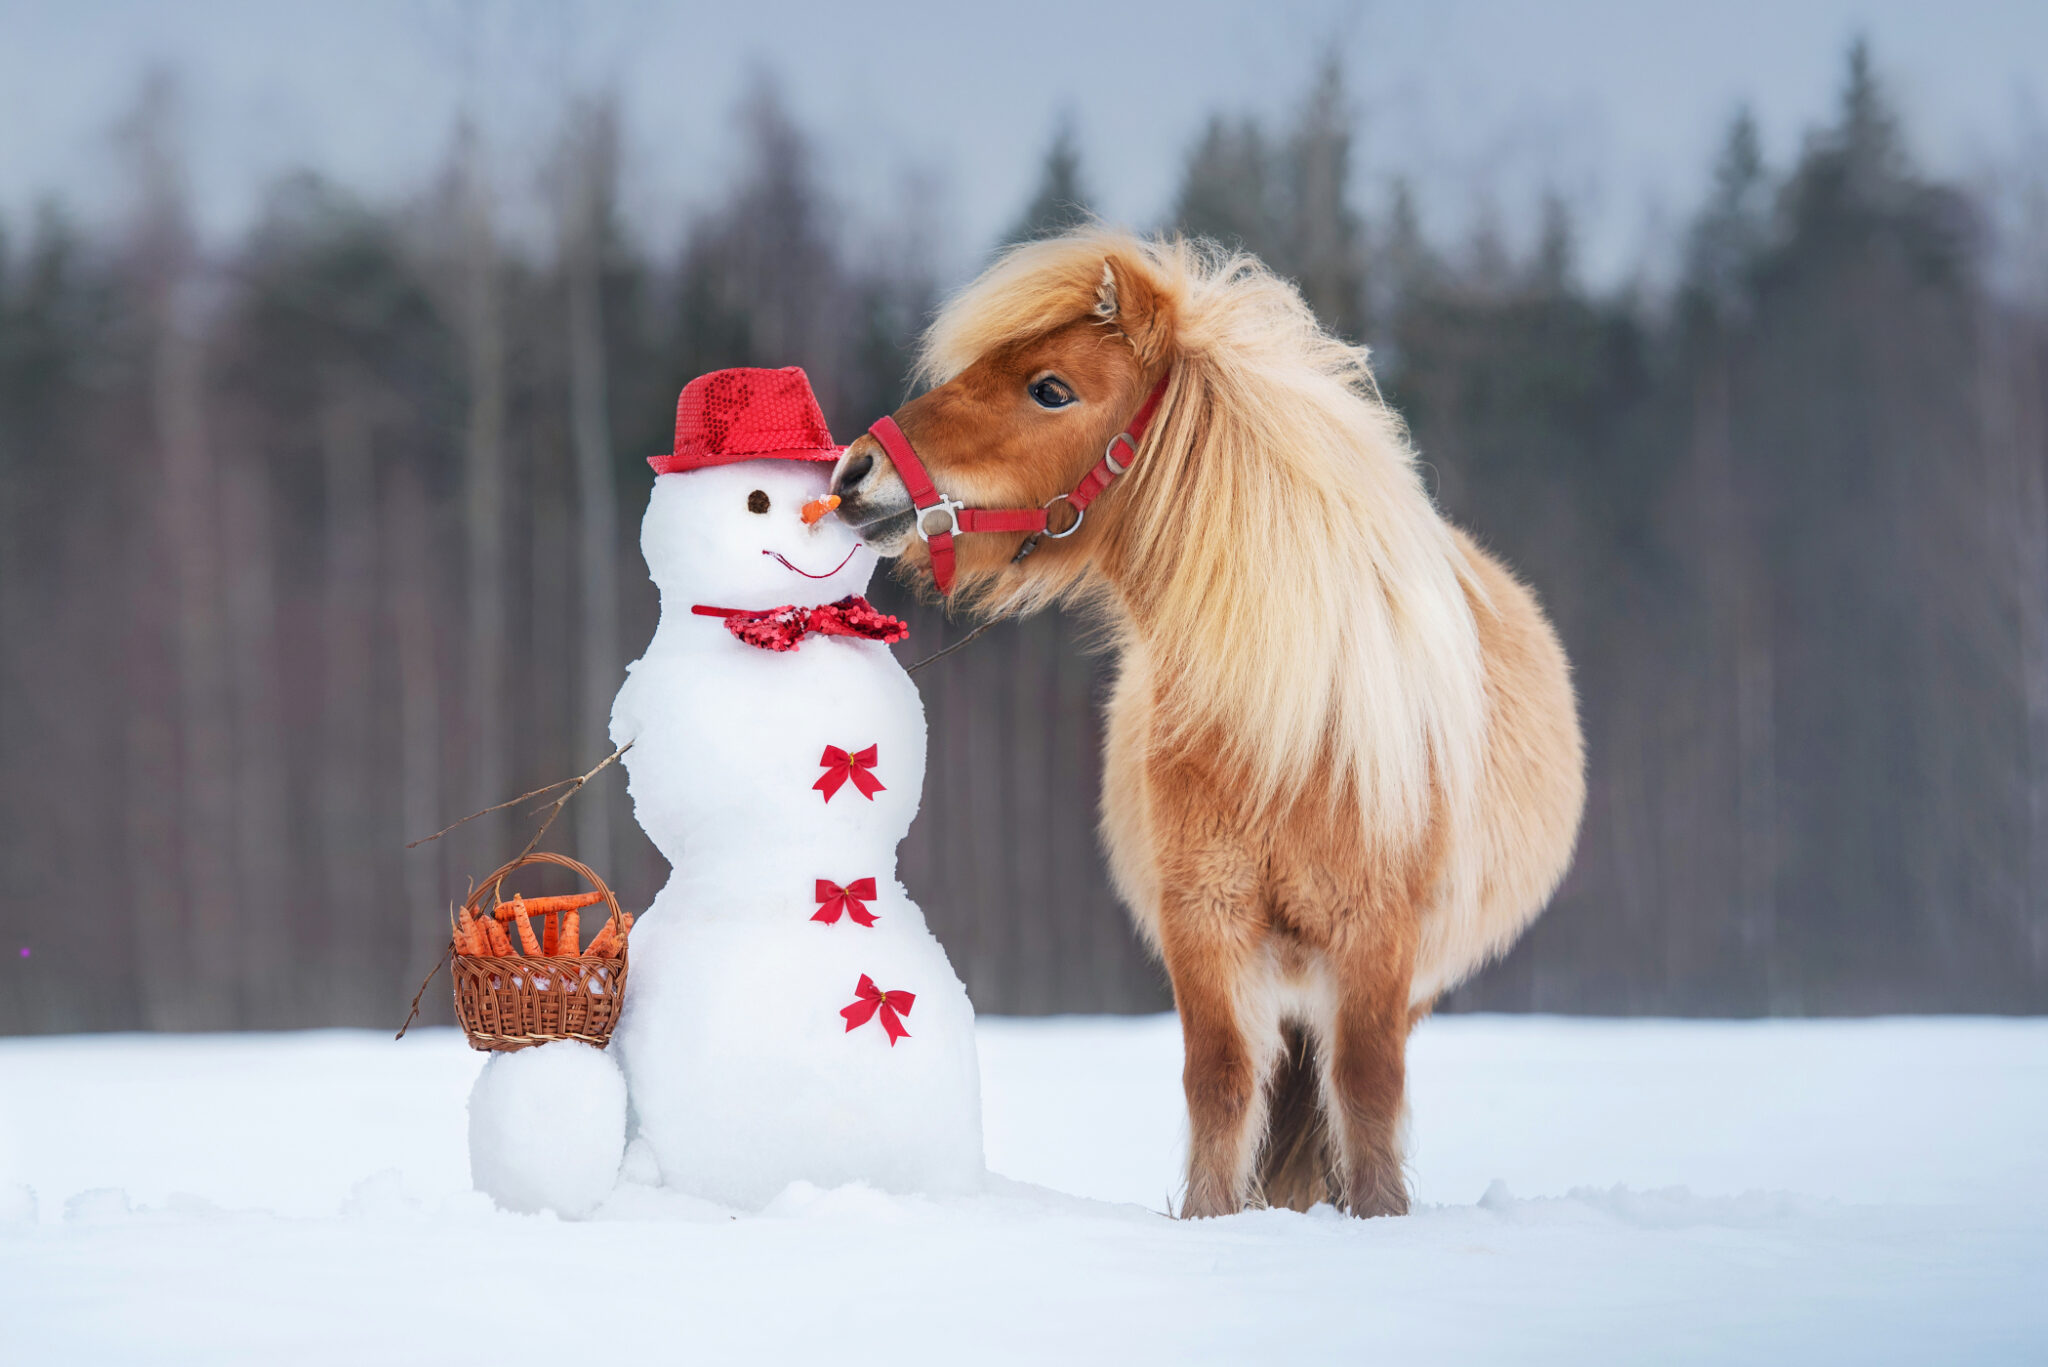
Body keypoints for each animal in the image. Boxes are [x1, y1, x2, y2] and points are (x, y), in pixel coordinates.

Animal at [828, 229, 1585, 1218]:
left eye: (1050, 388)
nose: (853, 472)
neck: (1296, 724)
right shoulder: (1207, 918)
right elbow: (1221, 1079)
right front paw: (1214, 1219)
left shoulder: (1377, 936)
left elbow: (1368, 1089)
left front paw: (1379, 1216)